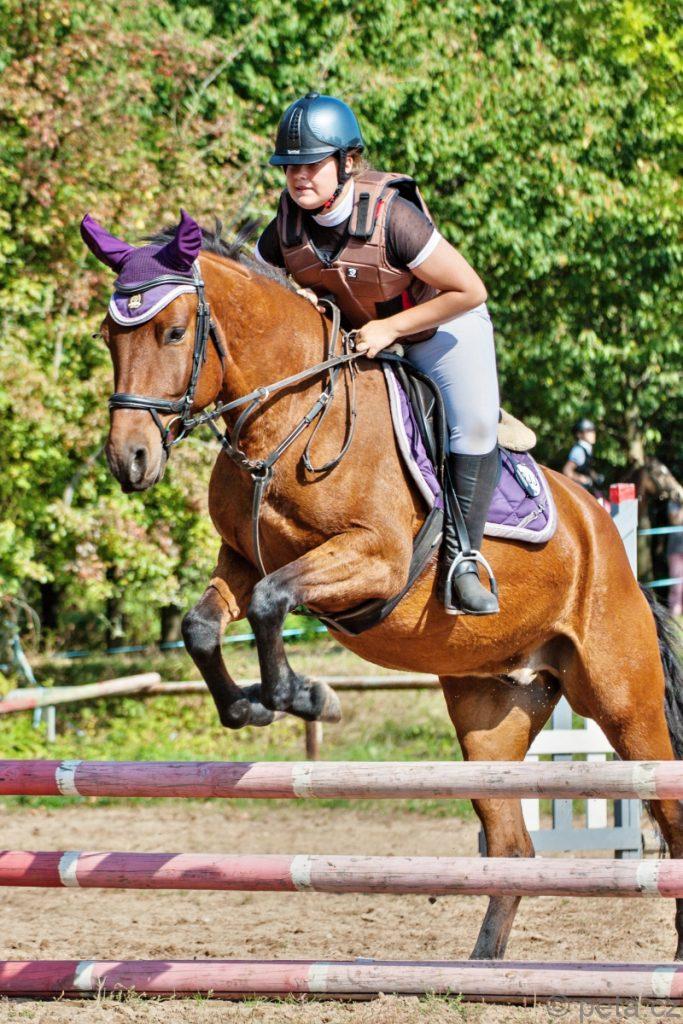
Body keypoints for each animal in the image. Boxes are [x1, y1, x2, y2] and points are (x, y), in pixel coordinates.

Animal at [88, 212, 683, 961]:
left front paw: (305, 697)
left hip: (623, 701)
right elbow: (204, 625)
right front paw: (250, 706)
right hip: (491, 711)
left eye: (171, 332)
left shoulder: (373, 560)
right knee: (512, 845)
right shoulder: (240, 559)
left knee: (666, 808)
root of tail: (606, 535)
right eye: (107, 336)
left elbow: (273, 601)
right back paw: (481, 970)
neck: (286, 418)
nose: (129, 459)